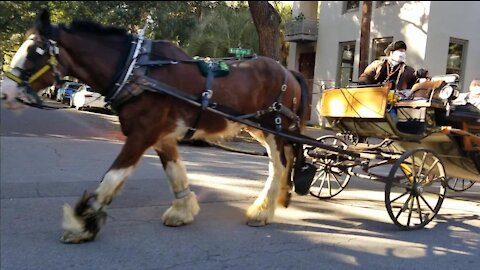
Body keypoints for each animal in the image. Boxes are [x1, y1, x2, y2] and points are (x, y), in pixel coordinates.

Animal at [0, 10, 312, 244]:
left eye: (35, 52)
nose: (6, 93)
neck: (138, 71)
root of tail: (289, 71)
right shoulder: (162, 136)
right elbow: (175, 172)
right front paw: (183, 210)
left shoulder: (142, 134)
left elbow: (112, 177)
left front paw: (81, 224)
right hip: (260, 129)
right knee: (285, 161)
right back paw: (279, 199)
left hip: (273, 128)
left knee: (279, 165)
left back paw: (262, 211)